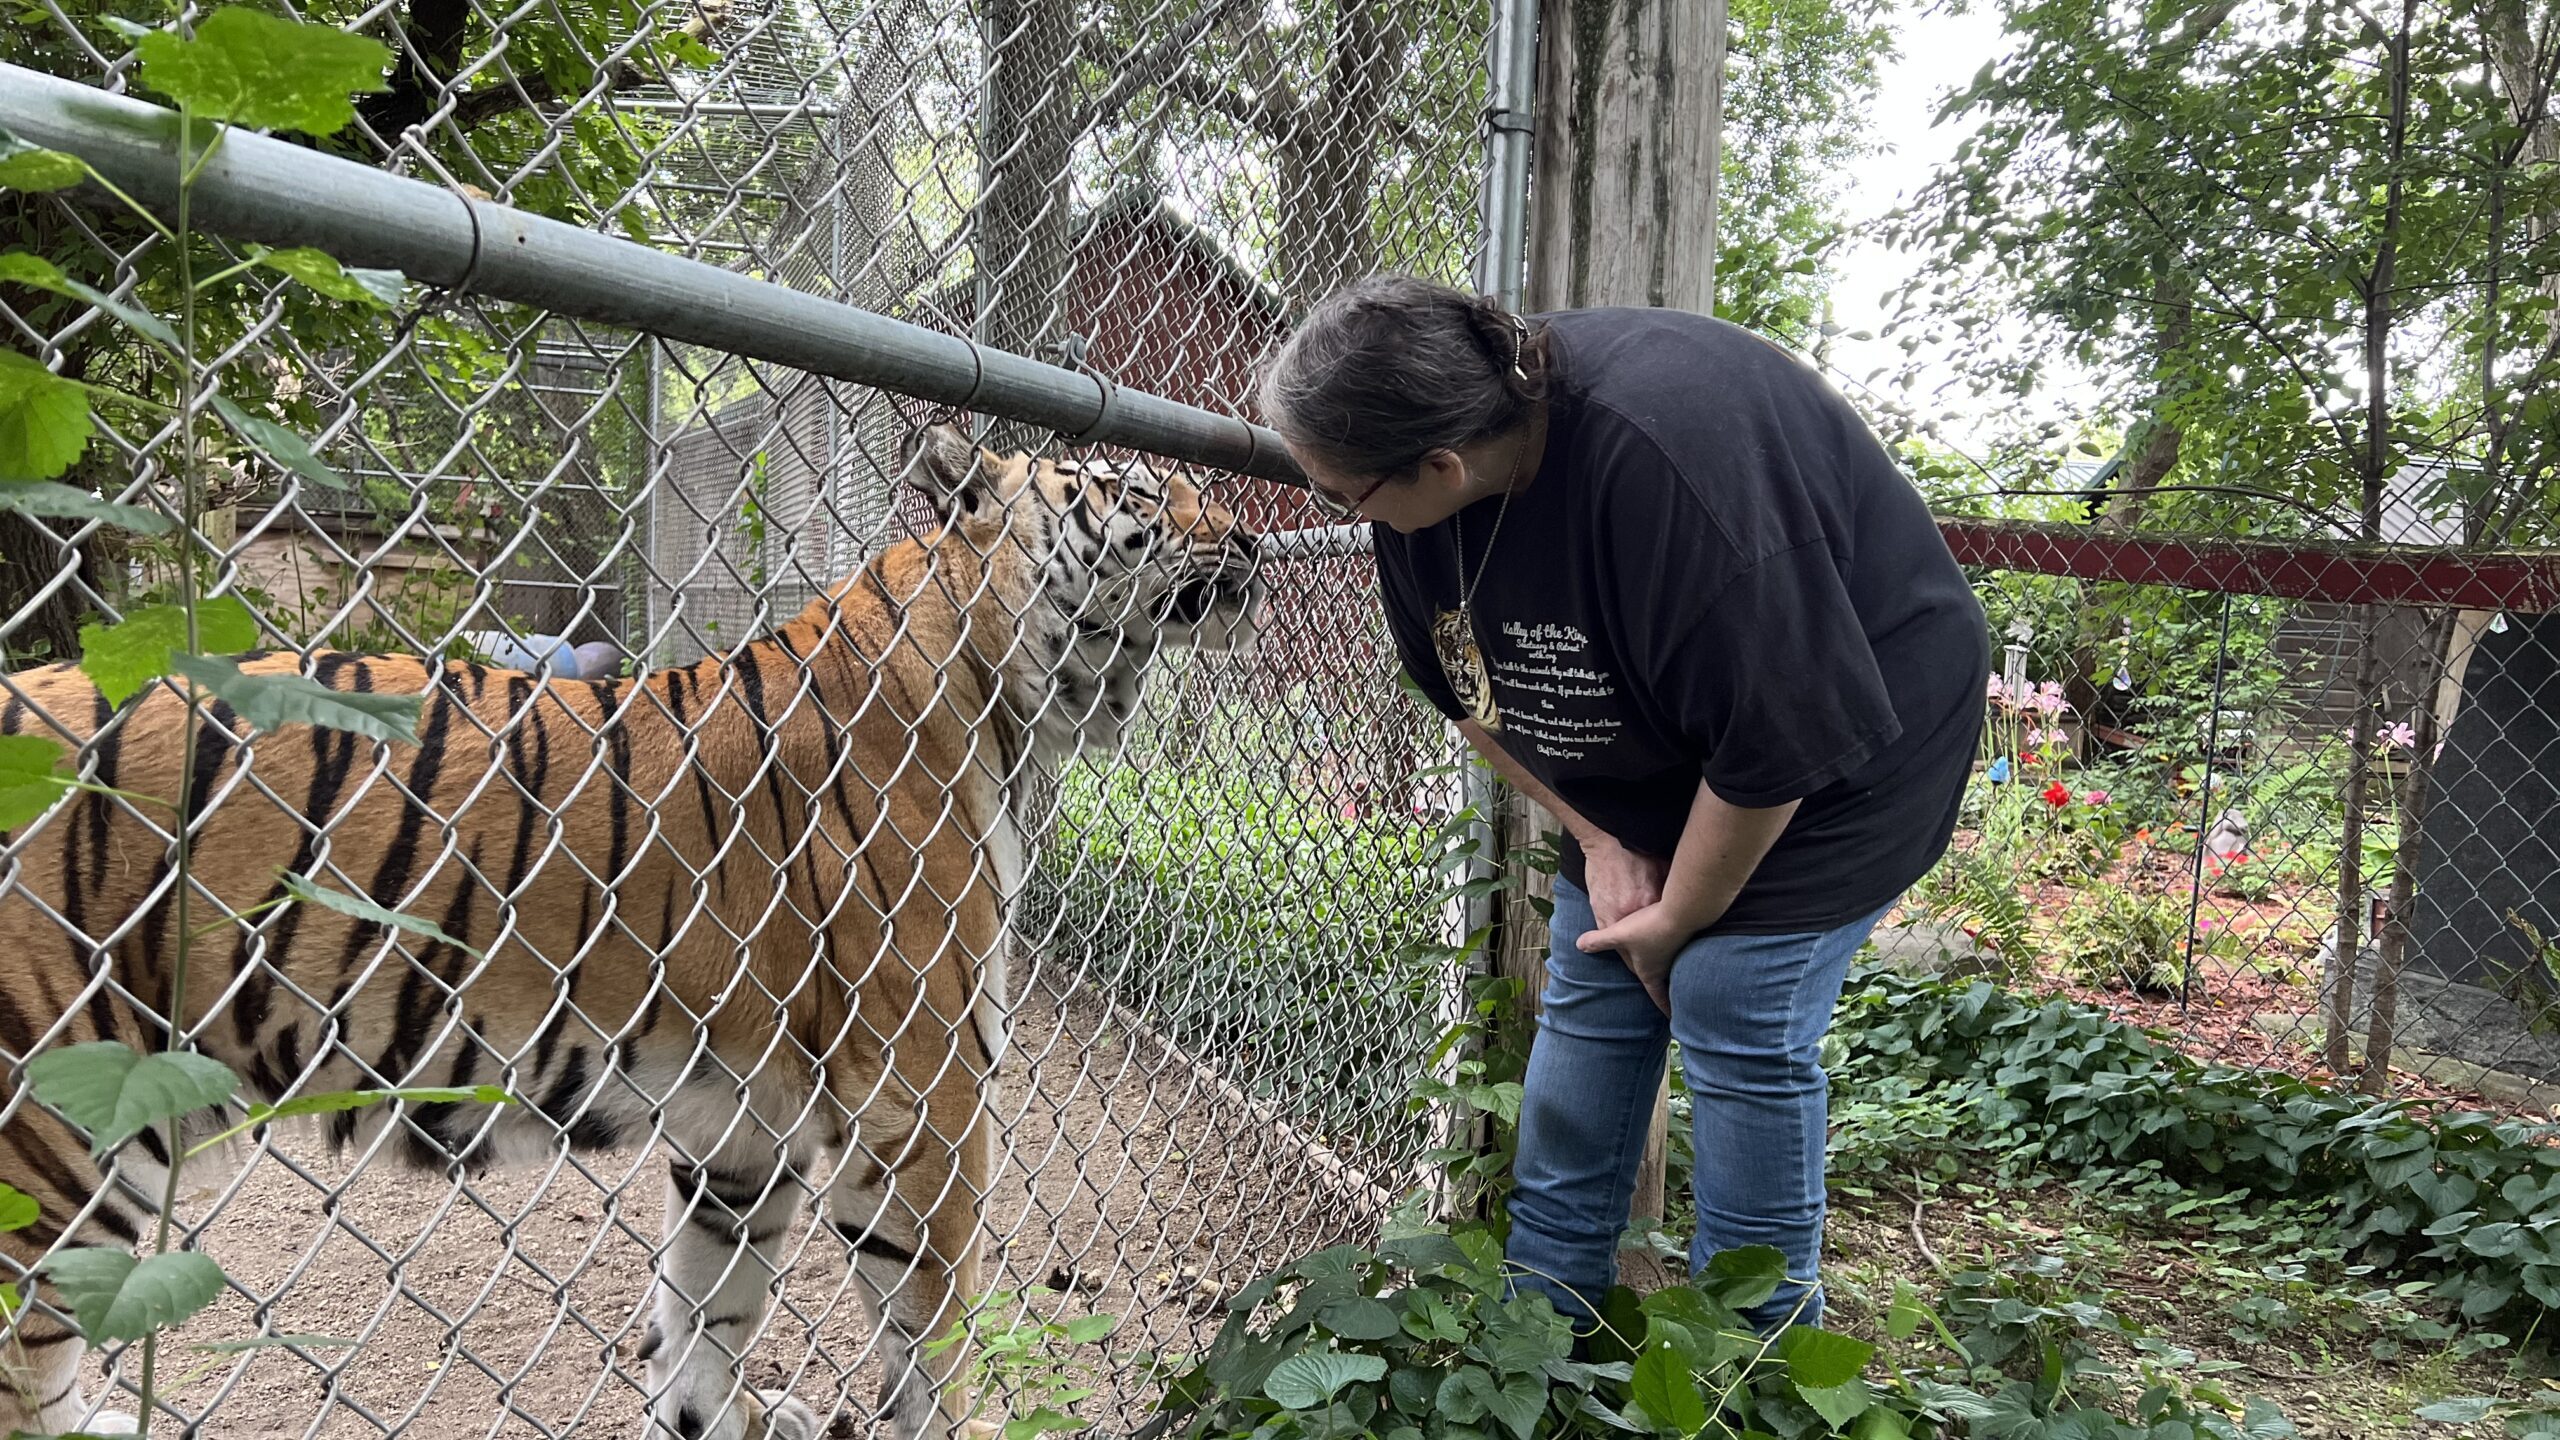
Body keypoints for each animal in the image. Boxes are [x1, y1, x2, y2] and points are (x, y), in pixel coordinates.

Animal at [0, 420, 1264, 1434]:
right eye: (1138, 492)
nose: (1254, 540)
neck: (1010, 695)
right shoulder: (923, 1099)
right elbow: (930, 1343)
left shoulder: (742, 1134)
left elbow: (705, 1328)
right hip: (53, 1149)